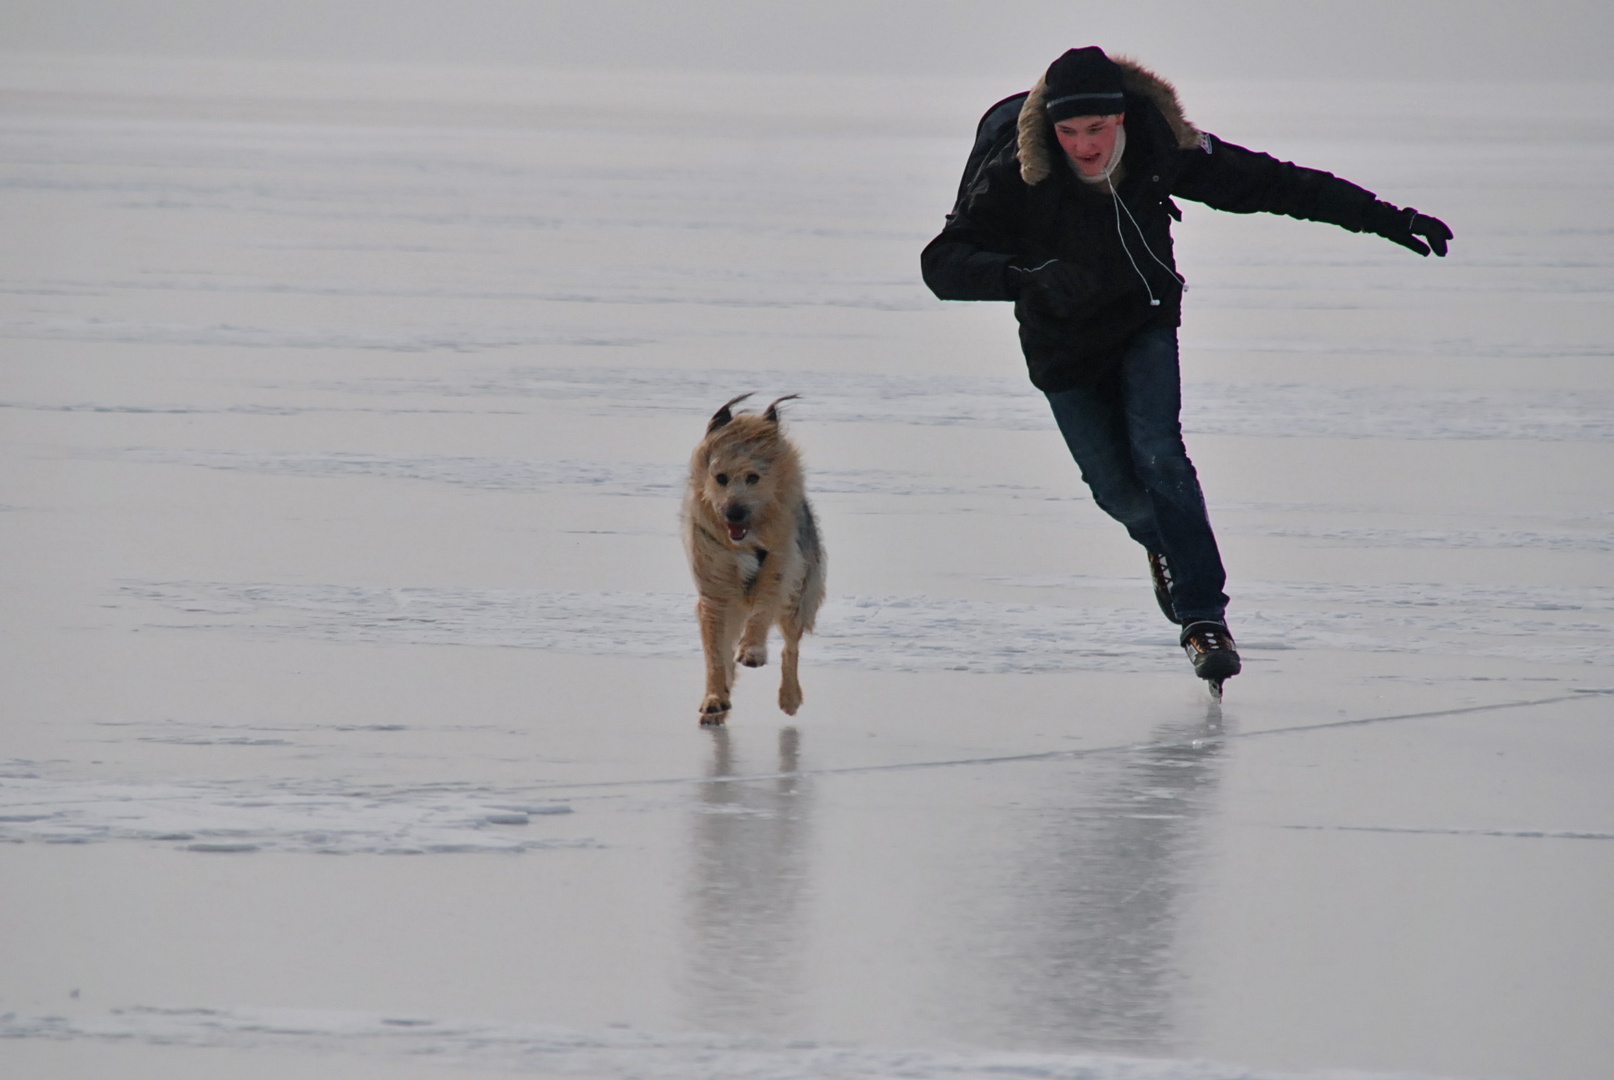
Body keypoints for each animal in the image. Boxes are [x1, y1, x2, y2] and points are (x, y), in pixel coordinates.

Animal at [684, 392, 832, 720]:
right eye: (720, 477)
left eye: (753, 477)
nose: (734, 512)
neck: (745, 542)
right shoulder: (714, 588)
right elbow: (715, 652)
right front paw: (715, 697)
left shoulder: (782, 564)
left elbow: (764, 607)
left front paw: (752, 651)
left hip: (799, 597)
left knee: (790, 646)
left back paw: (789, 696)